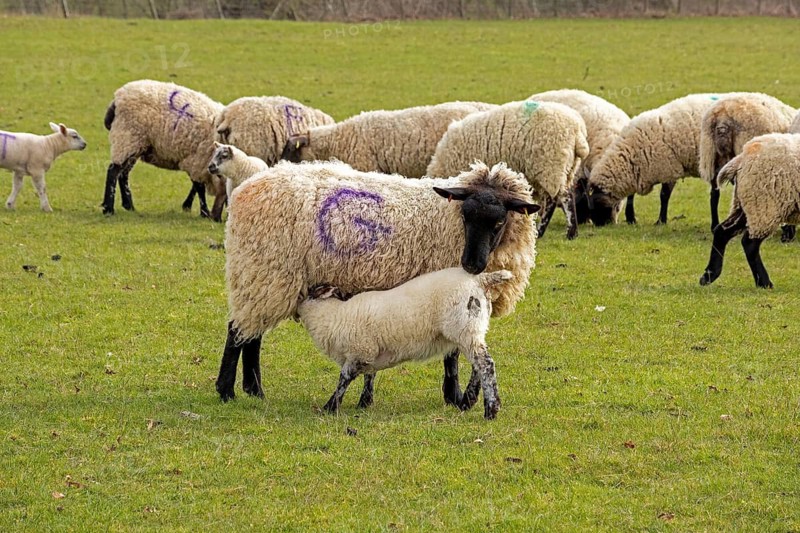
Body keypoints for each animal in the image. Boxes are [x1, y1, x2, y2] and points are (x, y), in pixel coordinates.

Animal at [102, 79, 227, 221]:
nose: (218, 219)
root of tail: (117, 99)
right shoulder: (198, 159)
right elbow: (199, 187)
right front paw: (203, 212)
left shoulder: (198, 162)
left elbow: (195, 185)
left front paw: (189, 206)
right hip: (127, 137)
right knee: (113, 171)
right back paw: (108, 208)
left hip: (136, 144)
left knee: (123, 173)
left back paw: (129, 206)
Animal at [298, 268, 514, 419]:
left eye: (306, 291)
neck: (333, 315)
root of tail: (480, 279)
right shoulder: (370, 352)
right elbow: (369, 376)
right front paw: (364, 402)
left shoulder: (359, 351)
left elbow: (344, 378)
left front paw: (330, 406)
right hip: (474, 329)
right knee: (479, 365)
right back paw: (470, 401)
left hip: (464, 329)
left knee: (485, 364)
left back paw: (491, 409)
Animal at [588, 93, 737, 226]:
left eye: (597, 204)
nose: (600, 225)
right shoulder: (638, 171)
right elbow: (631, 196)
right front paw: (631, 219)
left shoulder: (669, 169)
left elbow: (664, 196)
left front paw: (661, 221)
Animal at [699, 133, 800, 289]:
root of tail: (743, 156)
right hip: (765, 205)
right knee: (749, 244)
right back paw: (764, 282)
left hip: (749, 204)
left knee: (721, 231)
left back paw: (709, 274)